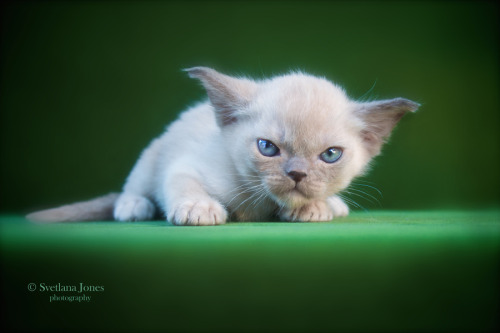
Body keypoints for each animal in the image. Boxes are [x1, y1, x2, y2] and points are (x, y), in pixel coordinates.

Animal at [27, 66, 418, 224]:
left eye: (331, 155)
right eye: (267, 148)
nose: (297, 174)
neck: (263, 206)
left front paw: (315, 207)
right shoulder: (184, 165)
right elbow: (183, 183)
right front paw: (199, 209)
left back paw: (335, 205)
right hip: (151, 156)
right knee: (134, 187)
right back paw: (135, 206)